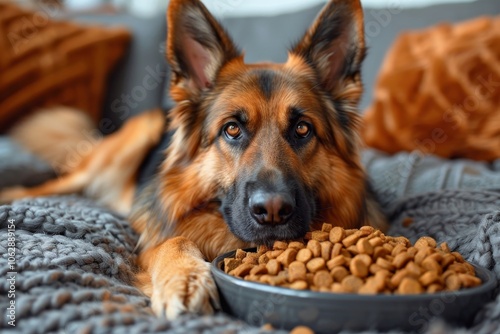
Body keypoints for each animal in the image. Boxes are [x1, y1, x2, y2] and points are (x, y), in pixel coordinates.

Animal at [0, 0, 384, 320]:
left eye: (303, 129)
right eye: (232, 129)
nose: (273, 210)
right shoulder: (154, 240)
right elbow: (174, 240)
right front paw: (185, 278)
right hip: (129, 140)